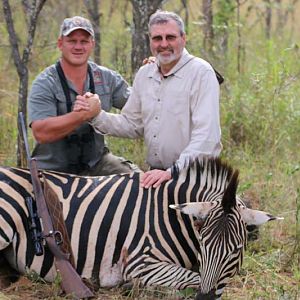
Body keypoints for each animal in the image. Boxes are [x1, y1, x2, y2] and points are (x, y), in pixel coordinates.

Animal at [0, 158, 282, 298]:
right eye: (203, 243)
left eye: (236, 250)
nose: (205, 299)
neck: (171, 216)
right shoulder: (140, 261)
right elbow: (193, 278)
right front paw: (134, 288)